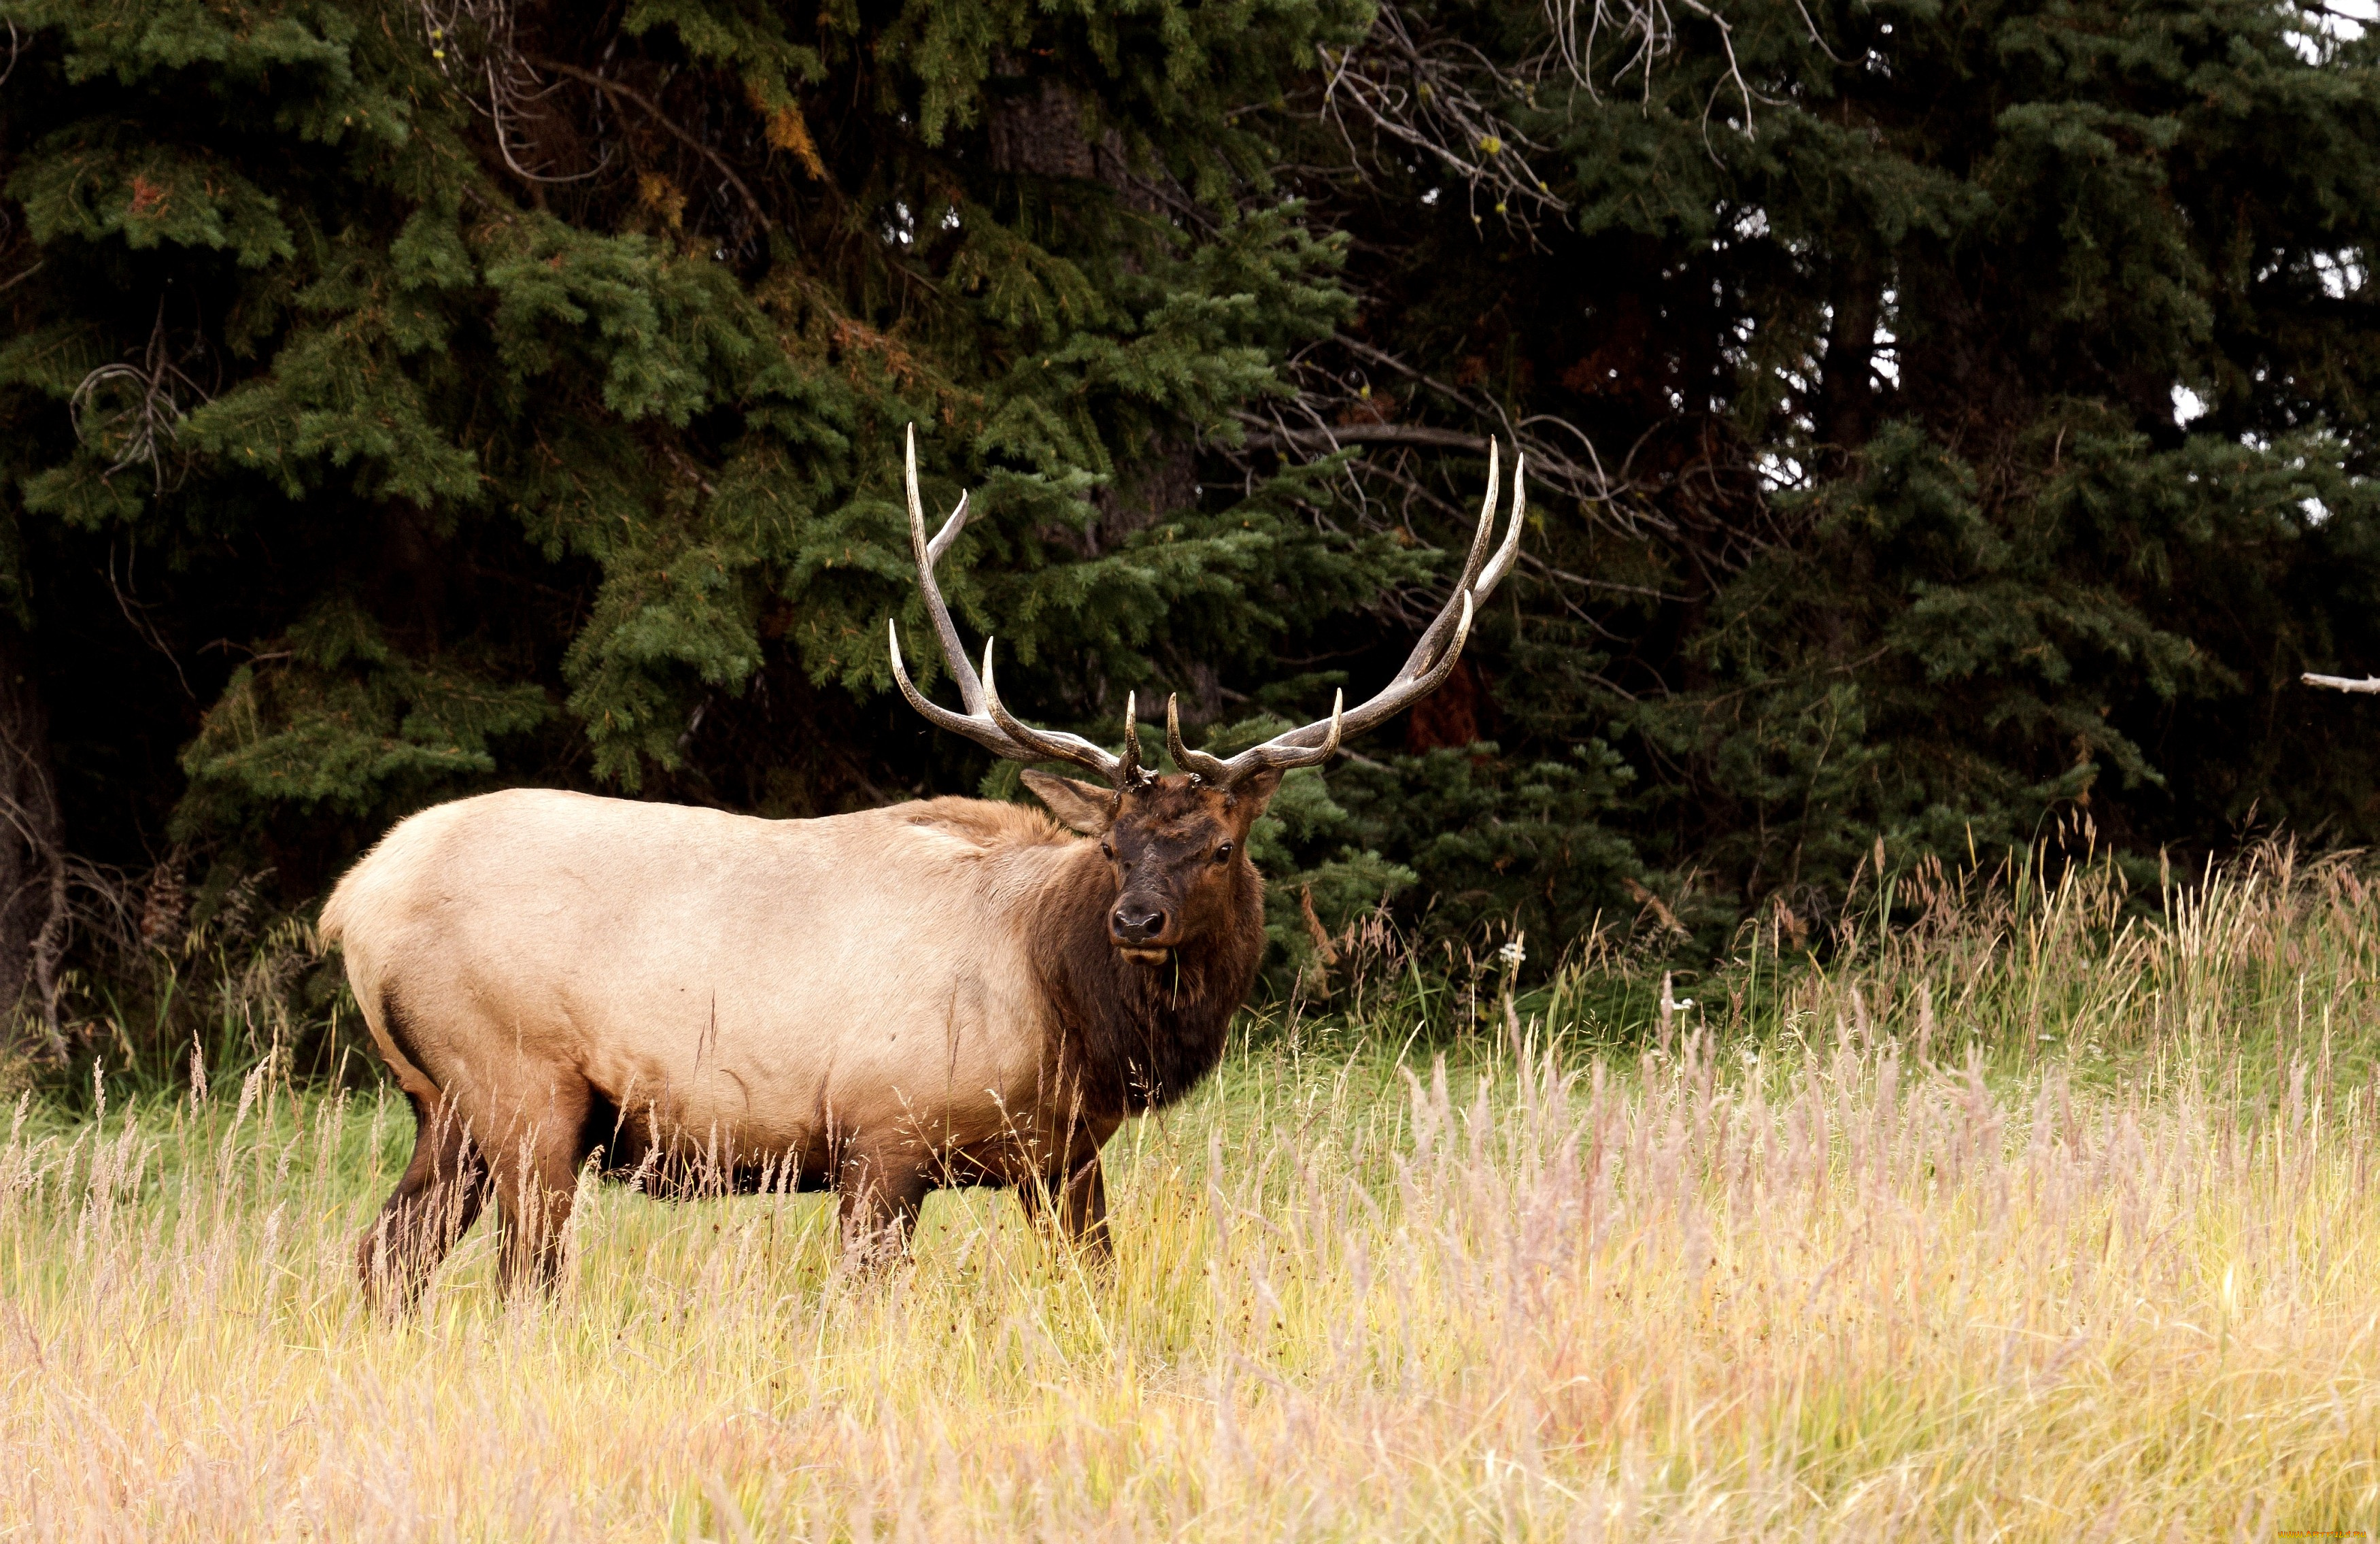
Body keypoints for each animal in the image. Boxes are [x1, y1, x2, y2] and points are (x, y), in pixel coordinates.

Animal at [321, 423, 1523, 1303]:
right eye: (1113, 842)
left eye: (1219, 845)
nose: (1136, 920)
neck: (1068, 1008)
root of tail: (354, 899)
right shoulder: (880, 1137)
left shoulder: (1063, 1158)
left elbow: (1096, 1283)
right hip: (520, 1082)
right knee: (520, 1276)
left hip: (446, 1107)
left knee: (387, 1256)